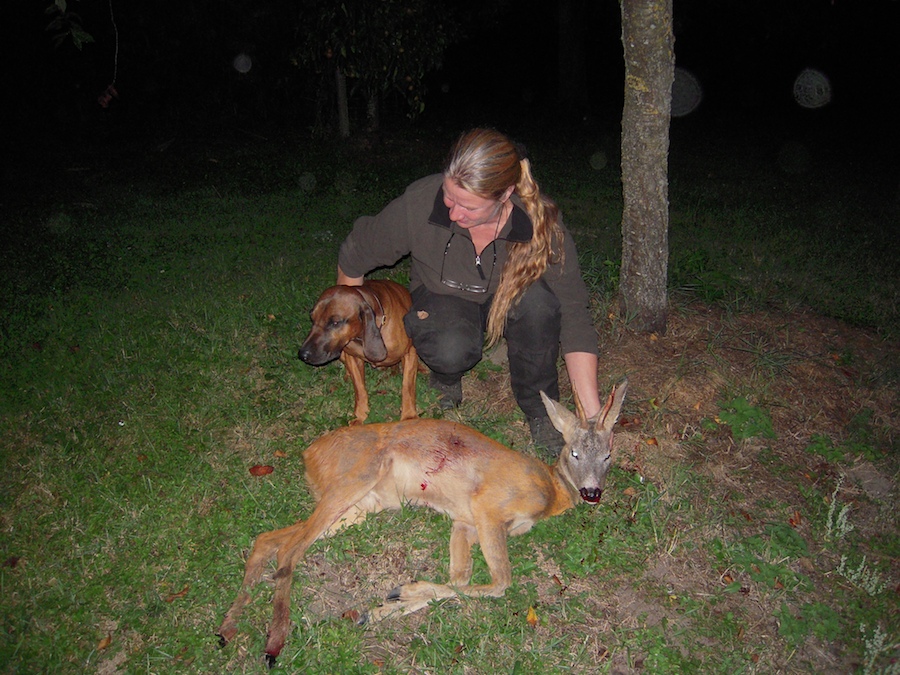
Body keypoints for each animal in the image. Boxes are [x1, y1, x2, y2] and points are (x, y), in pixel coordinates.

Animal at [216, 380, 624, 664]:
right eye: (574, 452)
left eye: (608, 454)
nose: (592, 492)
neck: (550, 492)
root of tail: (308, 454)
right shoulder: (487, 506)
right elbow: (499, 583)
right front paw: (398, 595)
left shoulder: (466, 521)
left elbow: (459, 579)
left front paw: (385, 607)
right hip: (354, 480)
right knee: (289, 550)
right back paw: (273, 643)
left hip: (360, 506)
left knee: (268, 538)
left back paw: (226, 629)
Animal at [298, 278, 418, 426]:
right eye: (312, 317)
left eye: (336, 322)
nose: (302, 354)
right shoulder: (352, 357)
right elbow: (360, 389)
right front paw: (360, 416)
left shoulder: (410, 352)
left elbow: (407, 387)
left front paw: (409, 416)